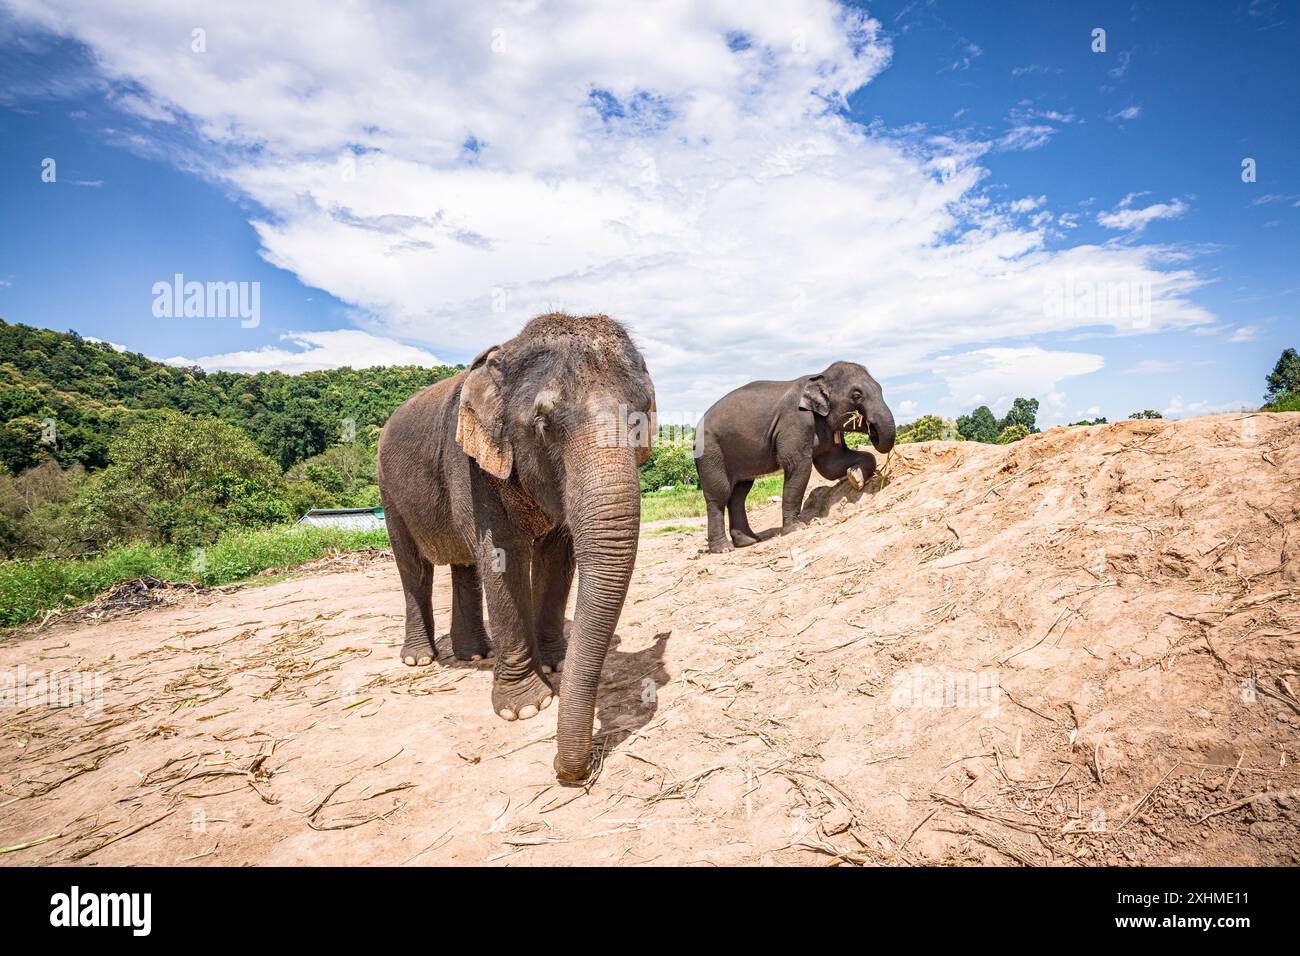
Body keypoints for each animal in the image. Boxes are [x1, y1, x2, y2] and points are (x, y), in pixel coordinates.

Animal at [379, 314, 655, 785]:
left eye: (641, 418)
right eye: (543, 425)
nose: (569, 772)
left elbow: (557, 558)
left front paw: (556, 665)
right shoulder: (470, 462)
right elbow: (501, 556)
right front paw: (525, 707)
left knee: (463, 564)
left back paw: (476, 654)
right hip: (388, 490)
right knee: (414, 570)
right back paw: (419, 660)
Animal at [702, 358, 894, 554]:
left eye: (881, 389)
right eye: (857, 395)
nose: (871, 428)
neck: (820, 376)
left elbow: (831, 465)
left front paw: (855, 477)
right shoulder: (797, 422)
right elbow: (798, 465)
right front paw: (796, 529)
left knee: (740, 493)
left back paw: (748, 541)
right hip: (710, 451)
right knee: (720, 494)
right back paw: (723, 549)